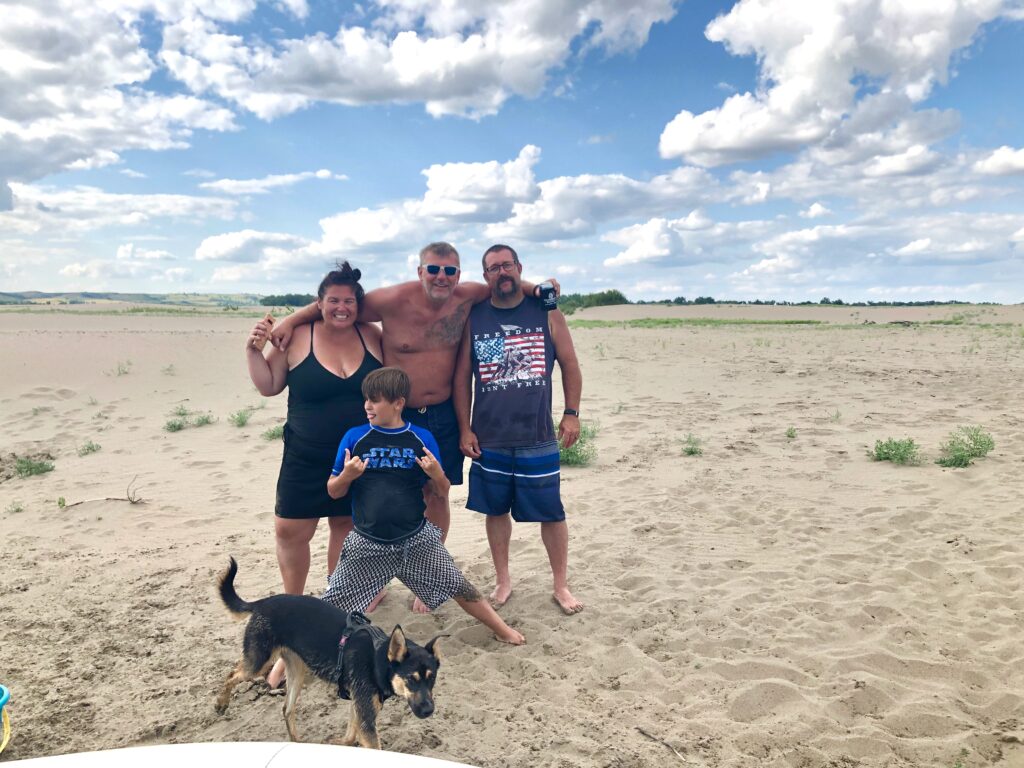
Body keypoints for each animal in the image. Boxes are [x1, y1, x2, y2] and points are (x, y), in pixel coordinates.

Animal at [214, 561, 442, 753]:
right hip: (259, 662)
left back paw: (296, 743)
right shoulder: (366, 716)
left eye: (432, 678)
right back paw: (221, 703)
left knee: (287, 709)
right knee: (232, 674)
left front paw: (339, 743)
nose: (429, 711)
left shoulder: (360, 705)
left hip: (297, 671)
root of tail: (263, 602)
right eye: (411, 679)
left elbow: (351, 733)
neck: (378, 658)